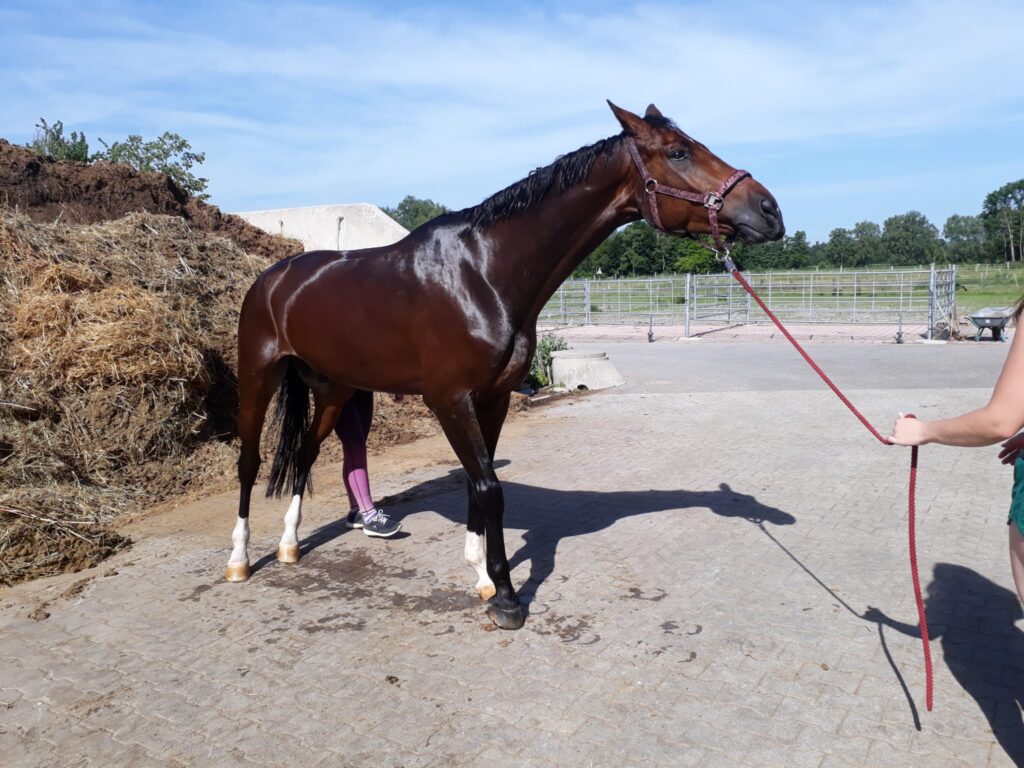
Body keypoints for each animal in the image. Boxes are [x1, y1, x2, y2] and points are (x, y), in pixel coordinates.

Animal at [225, 101, 785, 630]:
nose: (770, 210)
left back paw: (290, 546)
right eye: (678, 152)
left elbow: (481, 485)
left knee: (303, 455)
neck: (483, 273)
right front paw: (508, 598)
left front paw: (482, 577)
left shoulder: (491, 398)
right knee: (250, 462)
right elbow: (490, 489)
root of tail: (273, 277)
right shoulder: (450, 401)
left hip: (335, 388)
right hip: (257, 378)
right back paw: (239, 559)